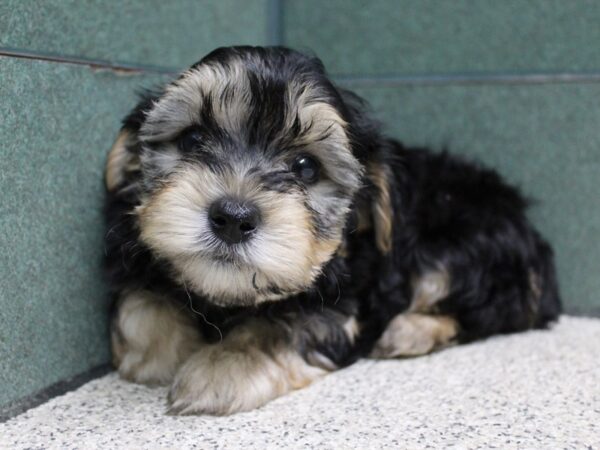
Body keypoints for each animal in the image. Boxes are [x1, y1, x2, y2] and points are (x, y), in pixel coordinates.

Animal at [104, 45, 564, 414]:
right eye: (193, 139)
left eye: (306, 167)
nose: (233, 217)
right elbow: (140, 307)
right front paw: (162, 354)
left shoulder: (344, 307)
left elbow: (277, 325)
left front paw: (220, 367)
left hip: (464, 243)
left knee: (493, 310)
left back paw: (407, 331)